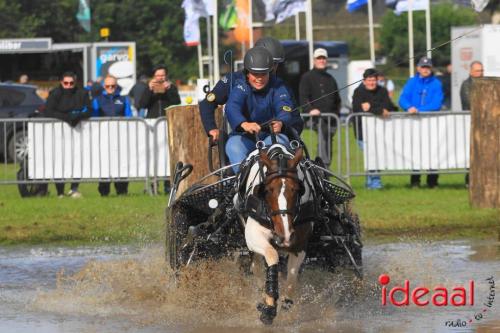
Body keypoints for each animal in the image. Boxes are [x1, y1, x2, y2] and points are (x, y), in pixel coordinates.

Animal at [238, 143, 312, 324]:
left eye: (296, 190)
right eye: (268, 190)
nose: (284, 236)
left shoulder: (300, 244)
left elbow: (291, 279)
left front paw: (286, 303)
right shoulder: (253, 236)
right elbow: (272, 255)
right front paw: (269, 305)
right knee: (257, 267)